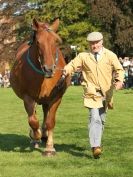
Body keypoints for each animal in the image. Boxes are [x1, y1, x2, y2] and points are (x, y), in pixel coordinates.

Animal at [9, 18, 69, 156]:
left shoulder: (56, 97)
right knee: (33, 115)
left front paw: (49, 147)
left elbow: (50, 121)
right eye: (38, 42)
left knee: (46, 113)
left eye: (56, 41)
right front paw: (36, 136)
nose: (49, 68)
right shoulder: (28, 97)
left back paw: (45, 135)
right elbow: (33, 121)